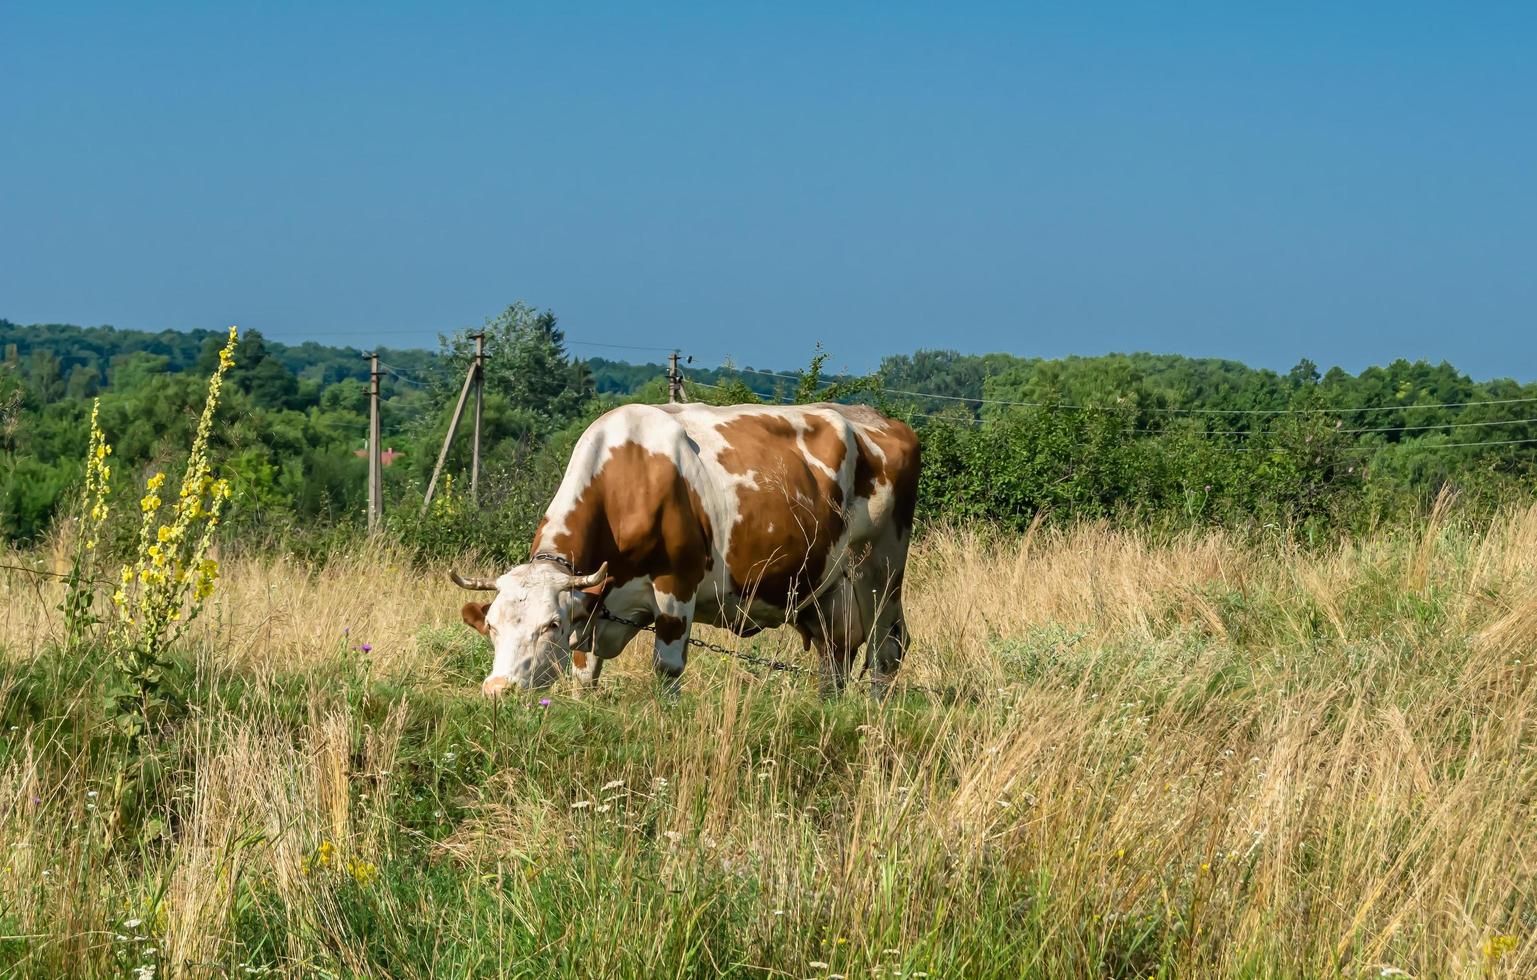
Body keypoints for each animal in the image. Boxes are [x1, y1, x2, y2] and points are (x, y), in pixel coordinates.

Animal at [448, 405, 916, 700]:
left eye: (551, 625)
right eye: (491, 626)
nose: (498, 690)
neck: (629, 480)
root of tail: (880, 419)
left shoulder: (677, 587)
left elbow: (667, 669)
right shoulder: (597, 607)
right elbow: (584, 671)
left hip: (881, 571)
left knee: (886, 649)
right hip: (826, 590)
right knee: (834, 656)